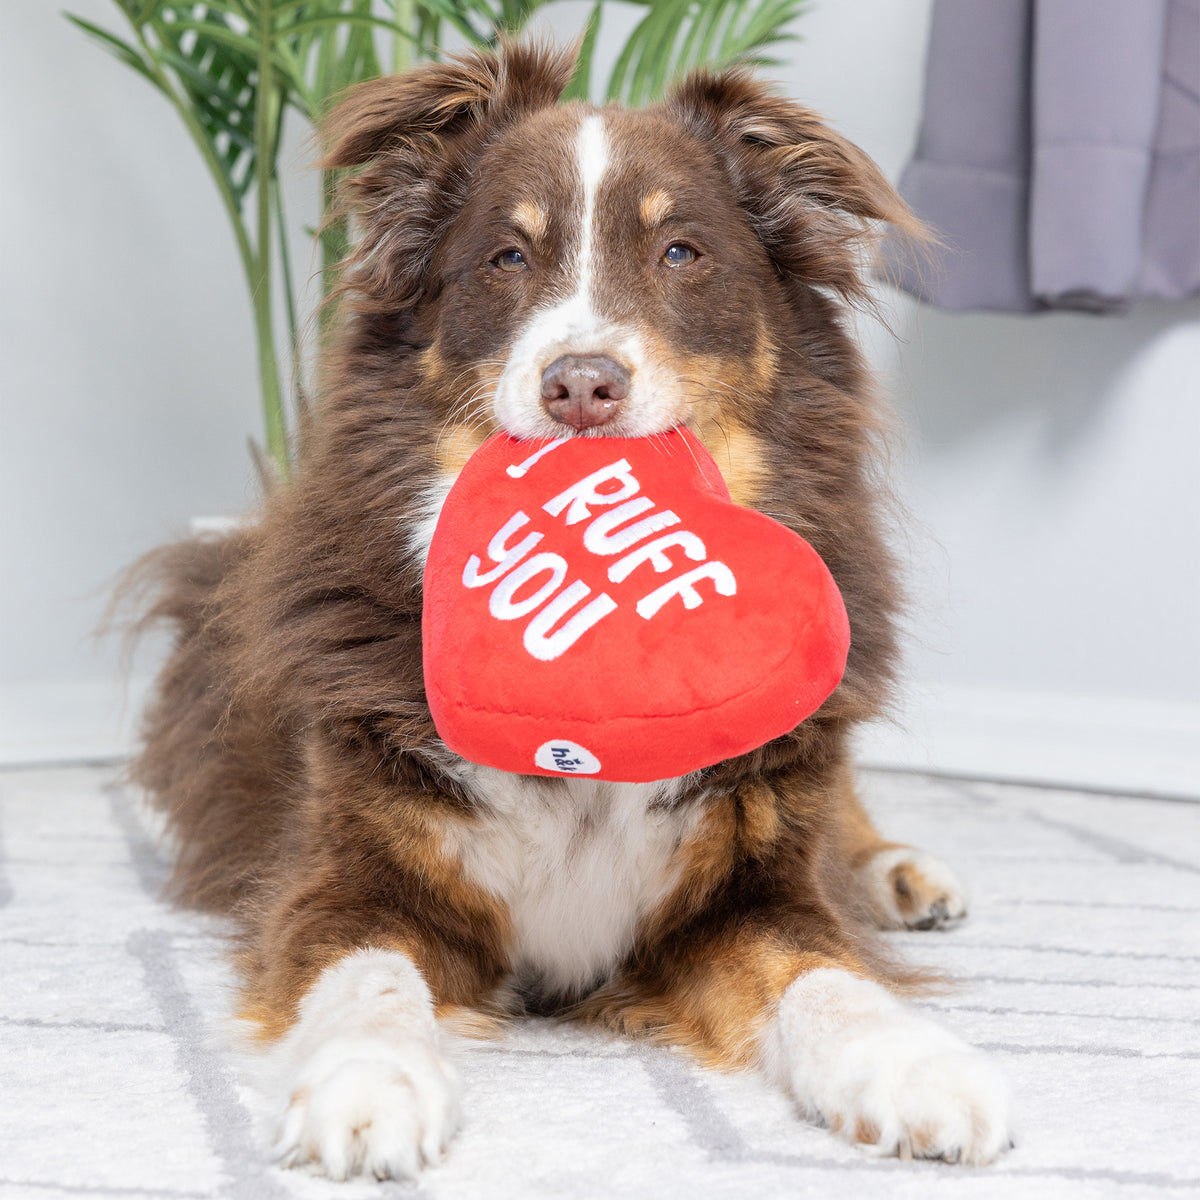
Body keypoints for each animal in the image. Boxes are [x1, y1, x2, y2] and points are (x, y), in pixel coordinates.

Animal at [131, 39, 1012, 1180]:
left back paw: (903, 874)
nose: (581, 386)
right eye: (507, 258)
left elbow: (826, 976)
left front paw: (918, 1068)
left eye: (681, 251)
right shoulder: (347, 883)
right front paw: (368, 1088)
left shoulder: (745, 894)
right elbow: (367, 979)